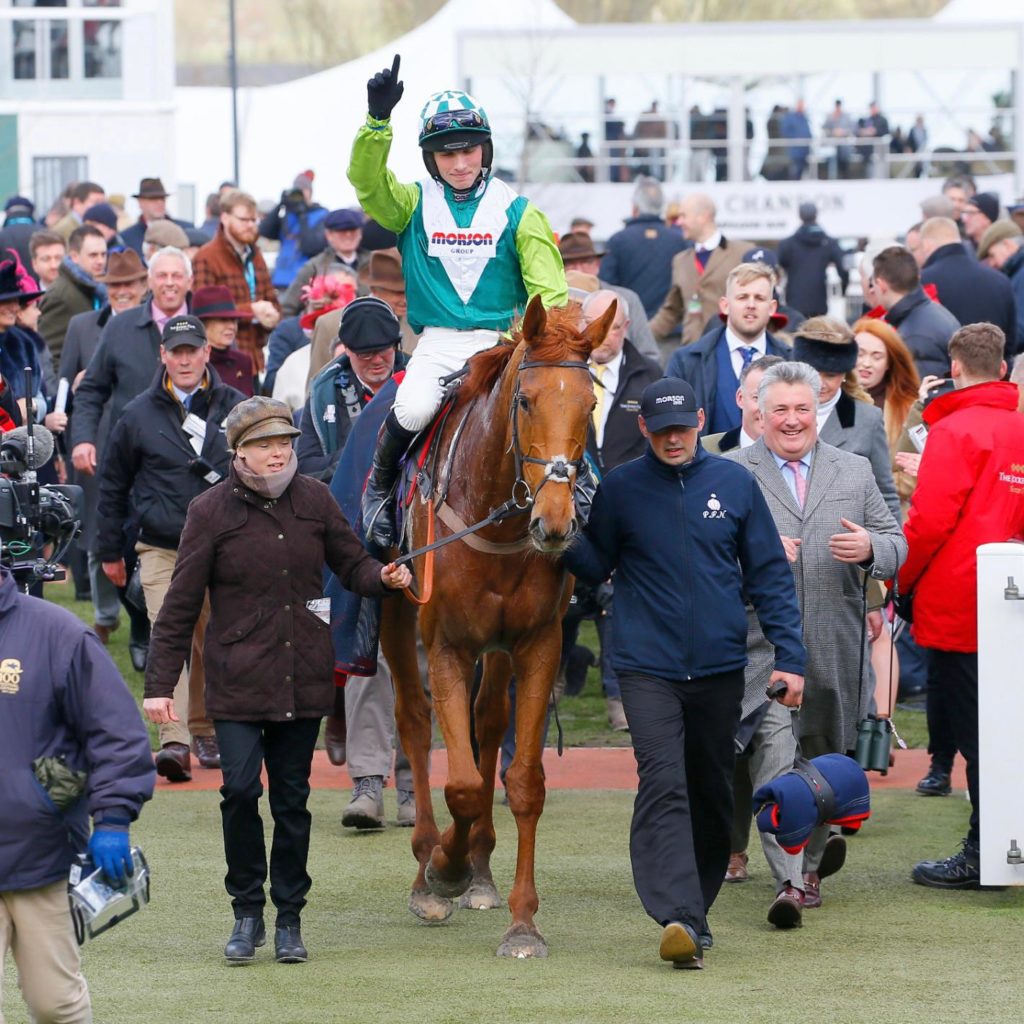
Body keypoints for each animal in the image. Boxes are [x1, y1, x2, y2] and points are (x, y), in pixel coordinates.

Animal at [378, 296, 610, 958]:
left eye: (588, 405)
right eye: (525, 400)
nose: (555, 522)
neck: (500, 520)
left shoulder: (538, 644)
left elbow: (522, 779)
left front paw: (521, 921)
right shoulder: (446, 645)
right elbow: (459, 781)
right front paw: (443, 868)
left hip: (499, 648)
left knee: (487, 722)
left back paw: (480, 871)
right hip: (394, 610)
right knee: (412, 718)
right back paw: (427, 869)